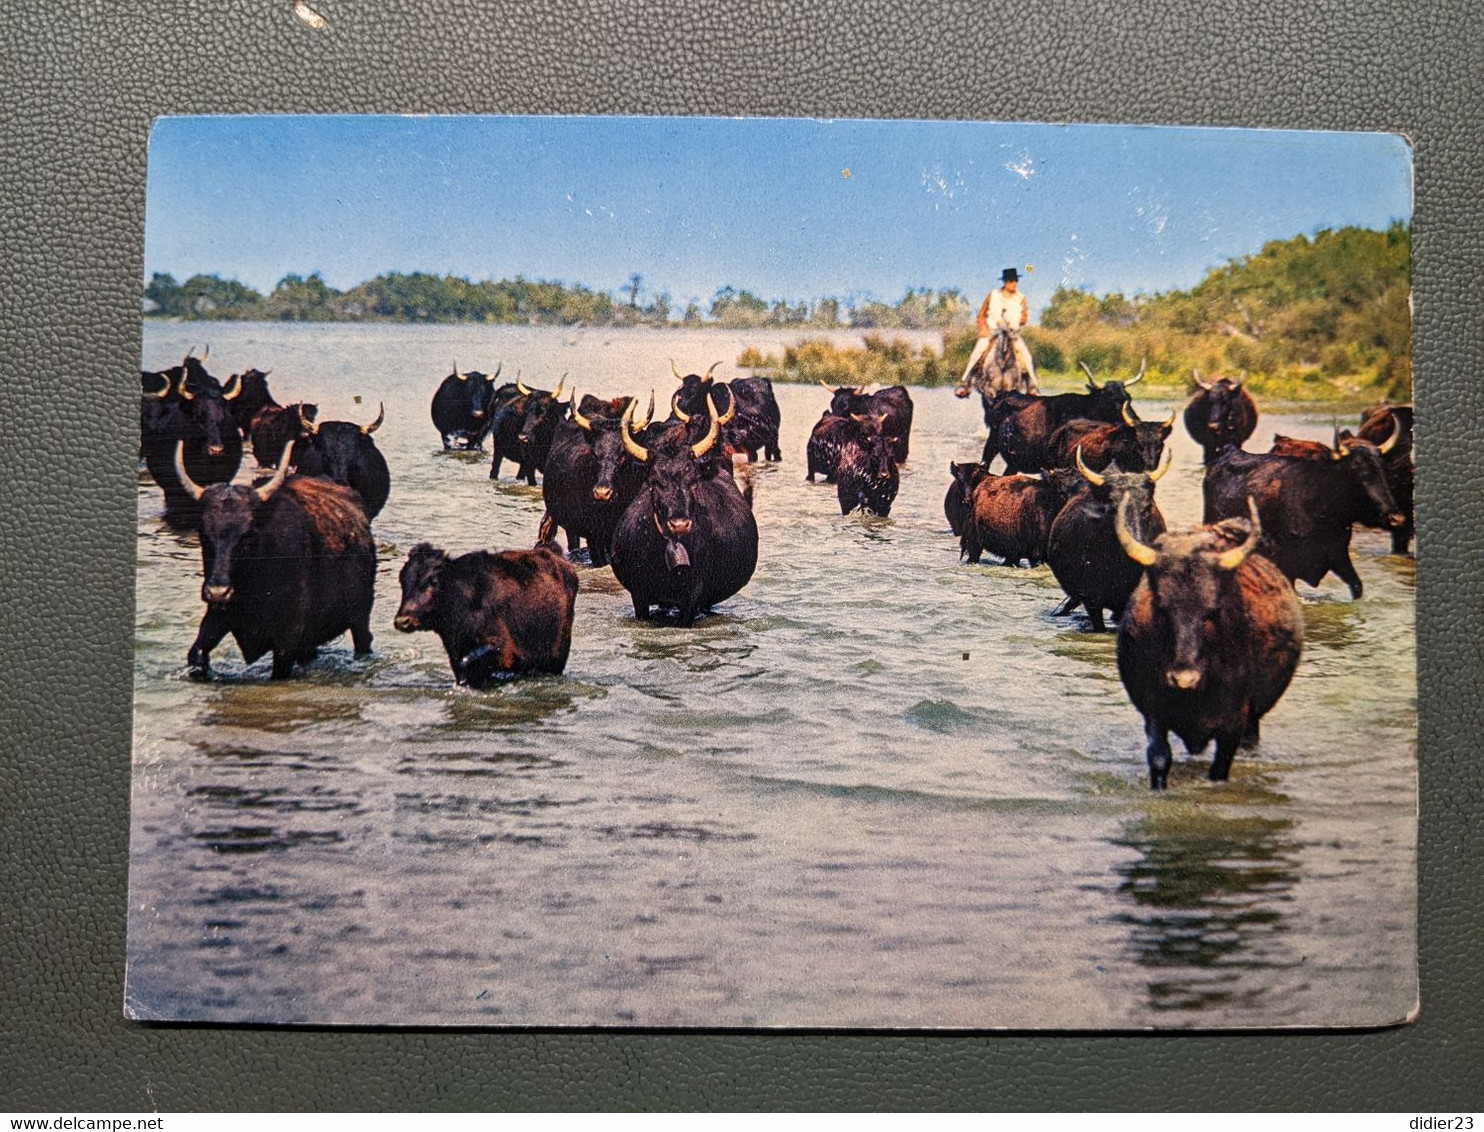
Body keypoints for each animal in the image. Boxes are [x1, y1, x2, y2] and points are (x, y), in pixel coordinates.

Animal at [1115, 501, 1305, 795]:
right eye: (1162, 607)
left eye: (1211, 611)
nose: (1183, 678)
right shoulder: (1154, 711)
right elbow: (1159, 758)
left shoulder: (1233, 723)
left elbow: (1219, 769)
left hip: (1253, 720)